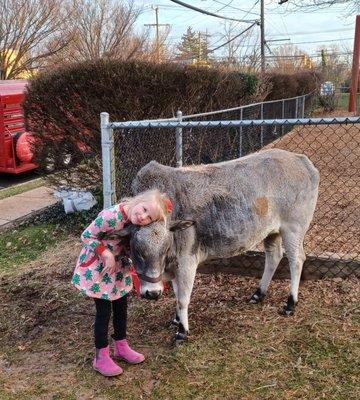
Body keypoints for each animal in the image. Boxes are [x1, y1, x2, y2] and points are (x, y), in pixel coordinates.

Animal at [117, 148, 318, 342]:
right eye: (136, 250)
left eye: (165, 248)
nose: (152, 293)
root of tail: (301, 159)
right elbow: (176, 292)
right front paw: (176, 319)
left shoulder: (186, 261)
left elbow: (182, 298)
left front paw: (182, 331)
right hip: (271, 232)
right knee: (274, 256)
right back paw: (258, 294)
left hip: (293, 229)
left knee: (296, 260)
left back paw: (290, 303)